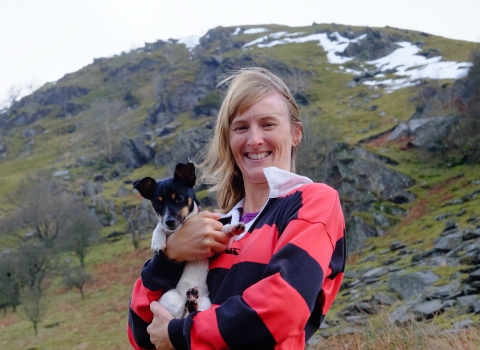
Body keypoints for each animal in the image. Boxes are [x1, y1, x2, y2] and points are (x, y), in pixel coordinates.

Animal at [133, 163, 246, 318]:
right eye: (157, 204)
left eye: (179, 198)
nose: (169, 221)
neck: (186, 222)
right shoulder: (166, 227)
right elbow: (159, 227)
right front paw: (157, 242)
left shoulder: (216, 247)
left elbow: (224, 229)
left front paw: (233, 228)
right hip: (168, 296)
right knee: (178, 313)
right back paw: (187, 301)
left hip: (205, 303)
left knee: (190, 313)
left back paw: (191, 303)